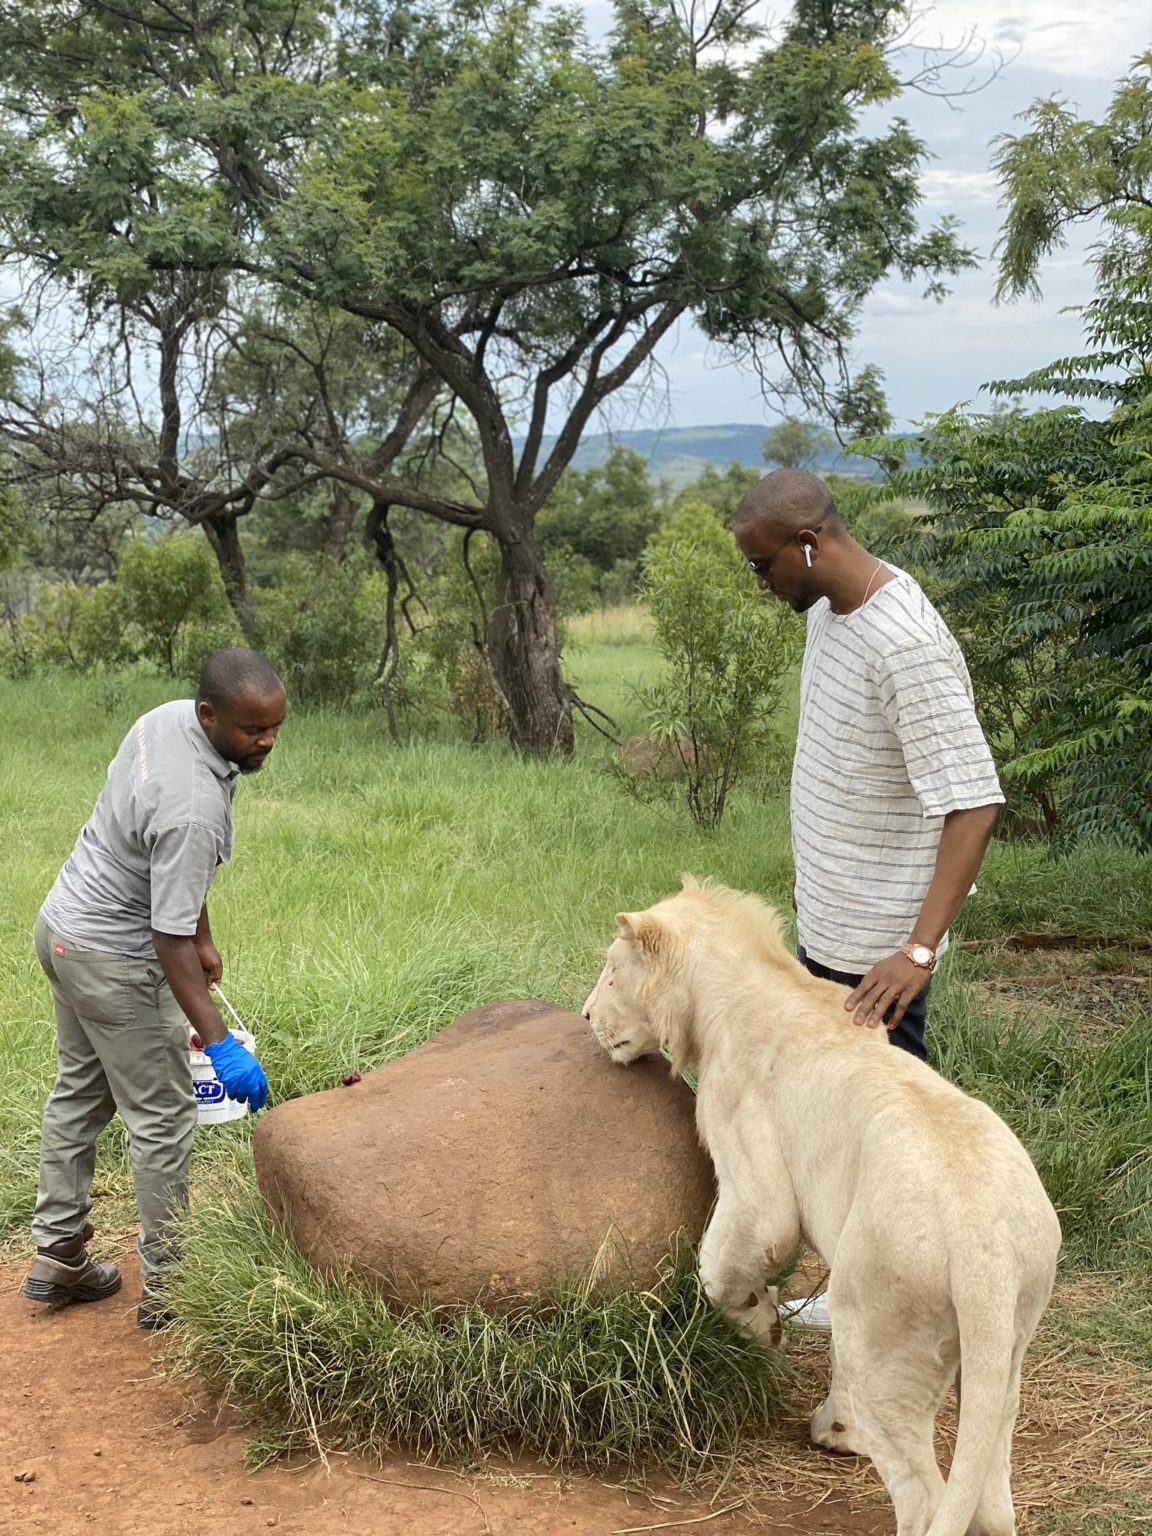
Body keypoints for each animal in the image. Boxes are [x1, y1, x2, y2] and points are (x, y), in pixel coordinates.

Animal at [581, 878, 1061, 1536]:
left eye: (609, 971)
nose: (583, 1017)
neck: (742, 984)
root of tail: (982, 1252)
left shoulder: (756, 1181)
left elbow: (722, 1266)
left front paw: (765, 1325)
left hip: (886, 1331)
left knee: (924, 1495)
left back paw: (840, 1433)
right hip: (1006, 1341)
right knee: (989, 1495)